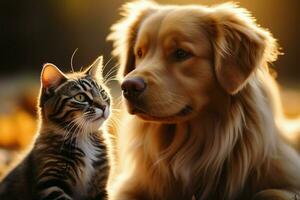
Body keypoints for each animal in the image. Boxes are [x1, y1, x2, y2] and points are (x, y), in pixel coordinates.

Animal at [0, 56, 111, 200]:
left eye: (102, 93)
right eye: (80, 97)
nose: (103, 106)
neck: (84, 138)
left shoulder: (101, 187)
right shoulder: (49, 184)